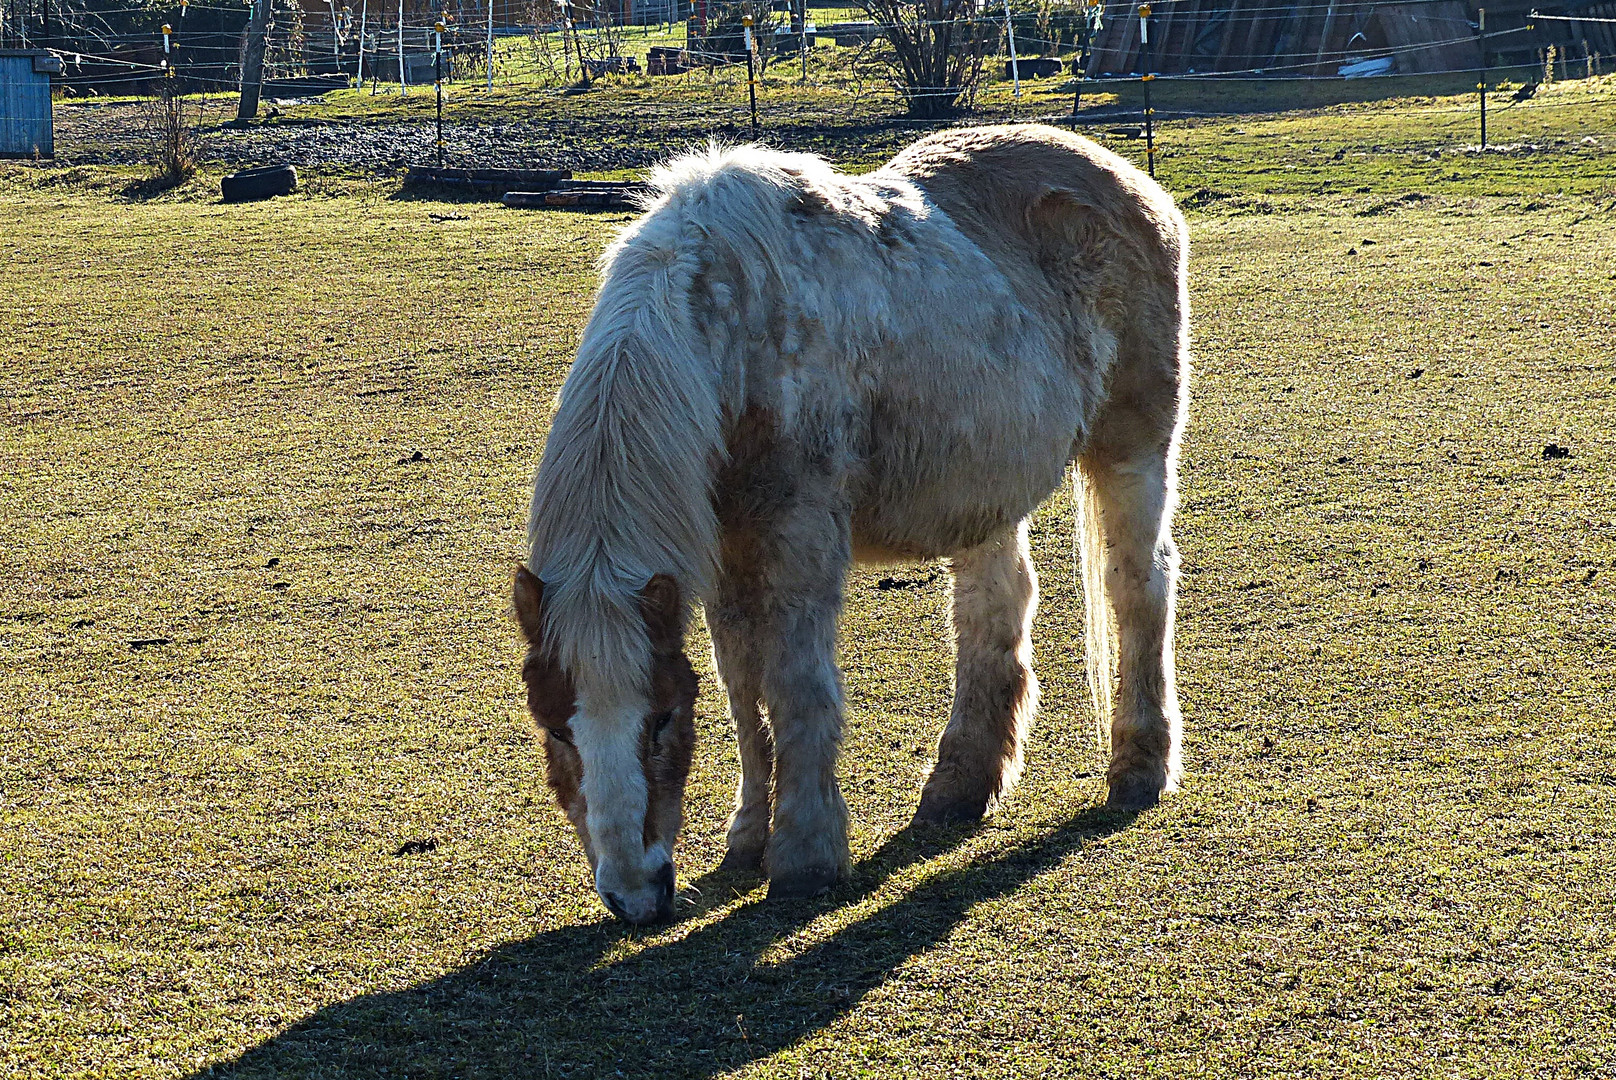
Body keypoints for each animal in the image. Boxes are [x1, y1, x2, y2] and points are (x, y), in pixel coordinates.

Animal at [513, 122, 1189, 924]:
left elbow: (797, 686)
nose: (634, 895)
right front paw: (748, 841)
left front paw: (805, 856)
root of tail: (1130, 179)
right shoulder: (728, 555)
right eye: (557, 727)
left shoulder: (799, 537)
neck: (730, 328)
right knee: (995, 608)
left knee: (1138, 586)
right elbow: (743, 689)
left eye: (660, 723)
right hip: (984, 487)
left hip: (1132, 450)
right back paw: (958, 786)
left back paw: (1140, 766)